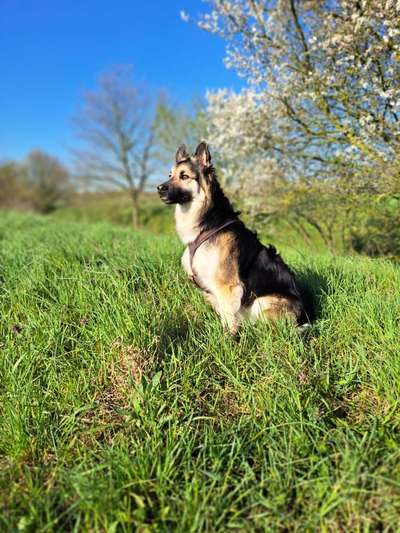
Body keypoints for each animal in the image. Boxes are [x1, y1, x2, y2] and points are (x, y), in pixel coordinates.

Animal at [157, 141, 312, 332]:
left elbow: (228, 320)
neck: (208, 223)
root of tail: (304, 317)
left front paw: (228, 337)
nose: (159, 188)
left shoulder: (227, 286)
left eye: (184, 176)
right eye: (170, 175)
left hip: (262, 302)